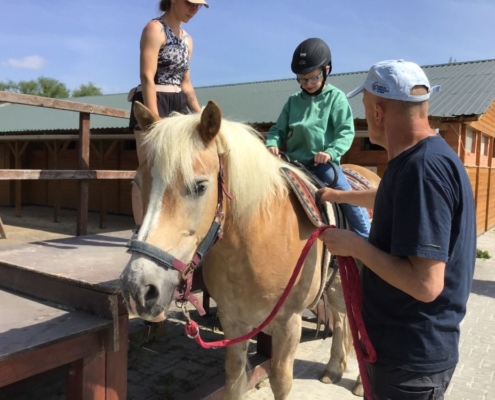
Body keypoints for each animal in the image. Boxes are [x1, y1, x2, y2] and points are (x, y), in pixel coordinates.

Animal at [119, 100, 380, 400]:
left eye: (200, 186)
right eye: (138, 183)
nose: (137, 289)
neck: (255, 242)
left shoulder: (288, 324)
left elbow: (280, 381)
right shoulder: (232, 321)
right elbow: (234, 379)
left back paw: (359, 382)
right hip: (336, 281)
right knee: (340, 318)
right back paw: (333, 369)